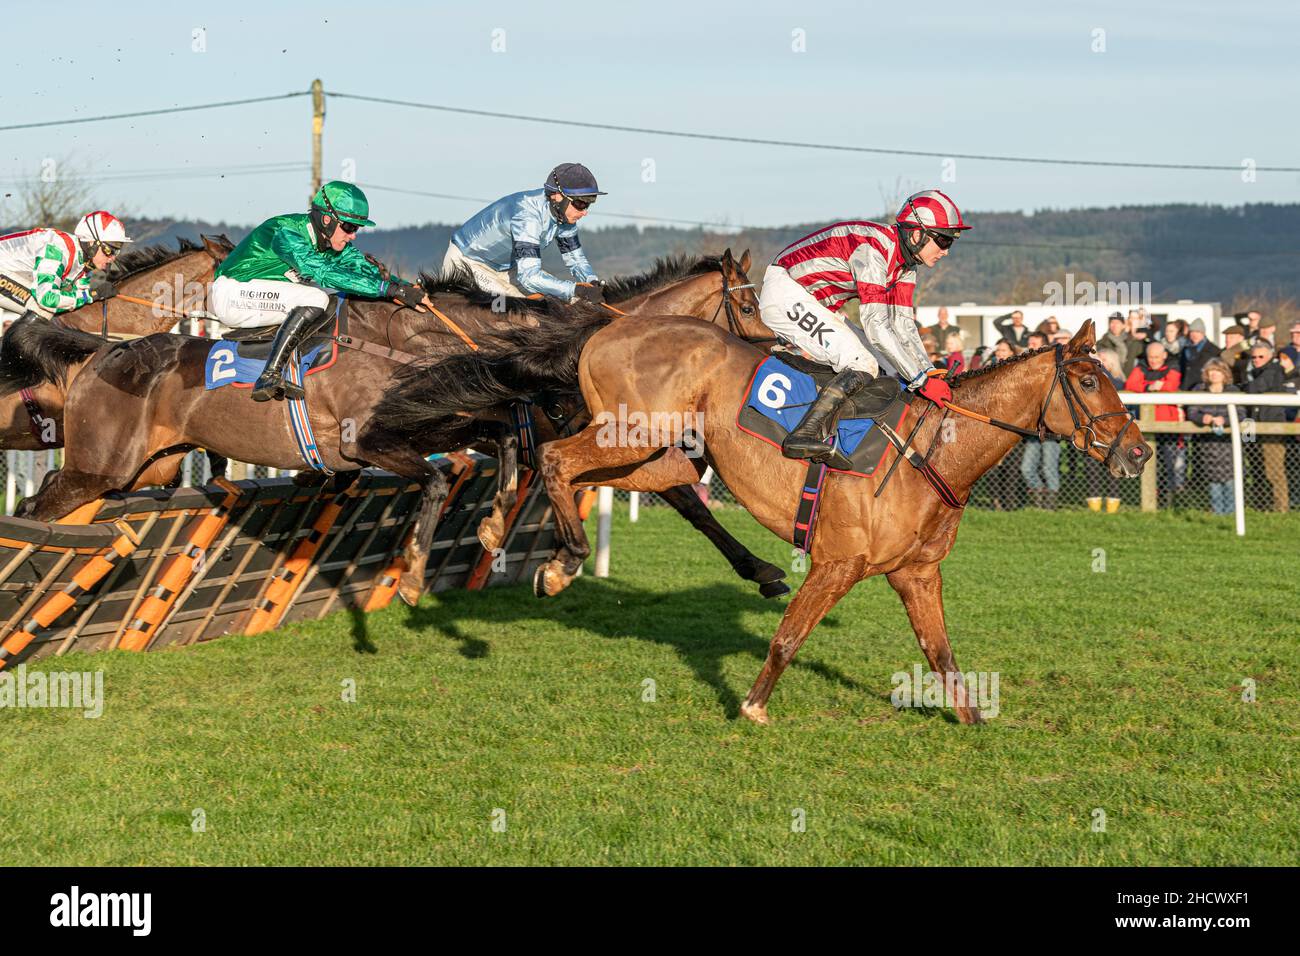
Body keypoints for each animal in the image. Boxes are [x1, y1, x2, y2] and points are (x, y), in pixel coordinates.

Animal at [374, 317, 1149, 723]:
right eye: (1087, 381)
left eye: (1114, 376)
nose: (1138, 451)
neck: (932, 453)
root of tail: (611, 326)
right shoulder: (839, 562)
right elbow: (787, 638)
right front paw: (751, 706)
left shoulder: (916, 575)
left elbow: (941, 653)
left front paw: (969, 717)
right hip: (632, 433)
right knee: (557, 457)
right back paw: (556, 560)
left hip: (655, 455)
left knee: (566, 466)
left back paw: (510, 541)